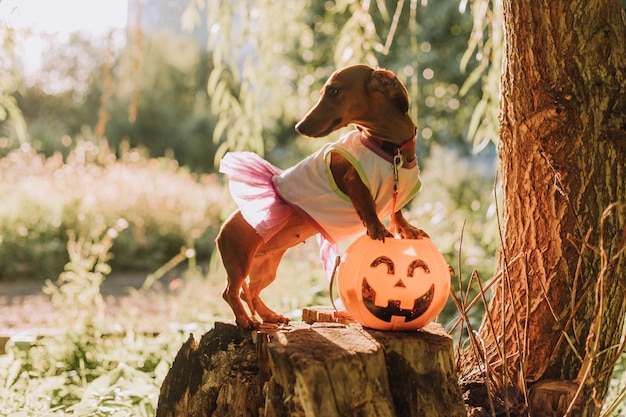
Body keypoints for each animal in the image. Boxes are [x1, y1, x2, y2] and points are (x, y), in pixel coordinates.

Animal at [217, 64, 426, 328]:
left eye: (334, 91)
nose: (299, 127)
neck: (391, 147)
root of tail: (222, 228)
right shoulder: (353, 179)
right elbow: (368, 206)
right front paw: (377, 229)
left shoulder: (399, 187)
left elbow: (397, 209)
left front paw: (407, 229)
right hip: (239, 261)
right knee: (231, 292)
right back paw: (246, 320)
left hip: (266, 266)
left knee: (250, 292)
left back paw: (269, 315)